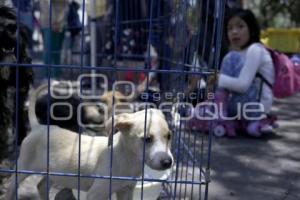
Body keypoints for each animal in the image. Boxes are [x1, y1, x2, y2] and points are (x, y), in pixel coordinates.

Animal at [5, 103, 173, 200]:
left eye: (169, 136)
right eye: (147, 139)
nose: (168, 162)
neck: (126, 158)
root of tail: (38, 127)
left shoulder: (126, 190)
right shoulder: (96, 193)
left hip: (54, 173)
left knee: (41, 186)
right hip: (23, 167)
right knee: (12, 185)